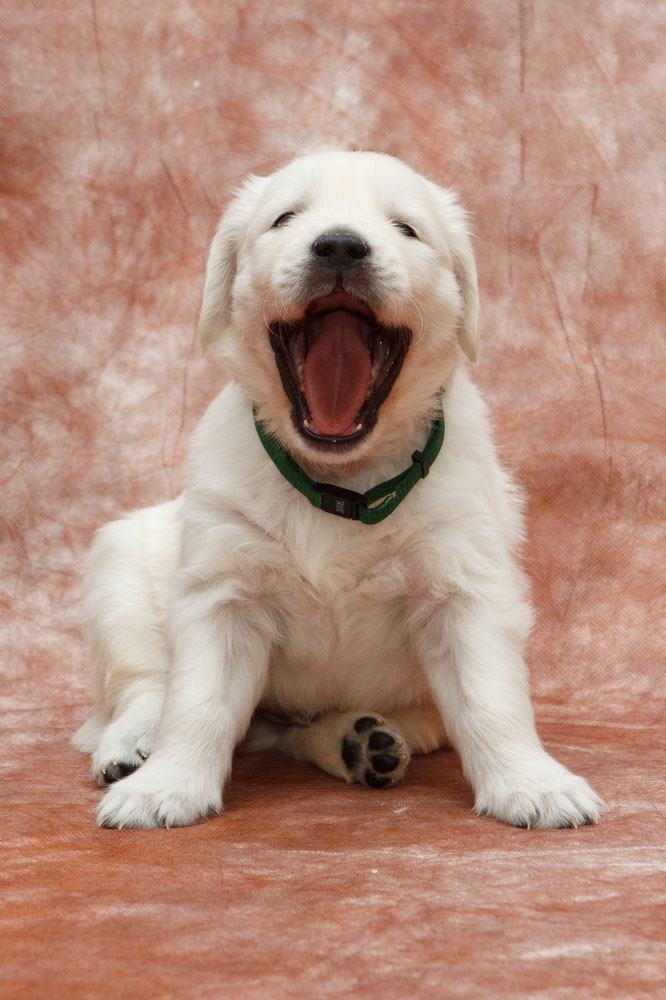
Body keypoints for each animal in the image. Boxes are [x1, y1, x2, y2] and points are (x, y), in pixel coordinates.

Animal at [74, 152, 600, 832]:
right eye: (285, 218)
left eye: (405, 228)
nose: (342, 246)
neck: (342, 482)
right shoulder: (223, 591)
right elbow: (197, 701)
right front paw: (167, 785)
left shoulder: (463, 587)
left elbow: (490, 697)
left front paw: (532, 783)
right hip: (122, 569)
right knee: (143, 686)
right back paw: (131, 746)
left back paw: (364, 743)